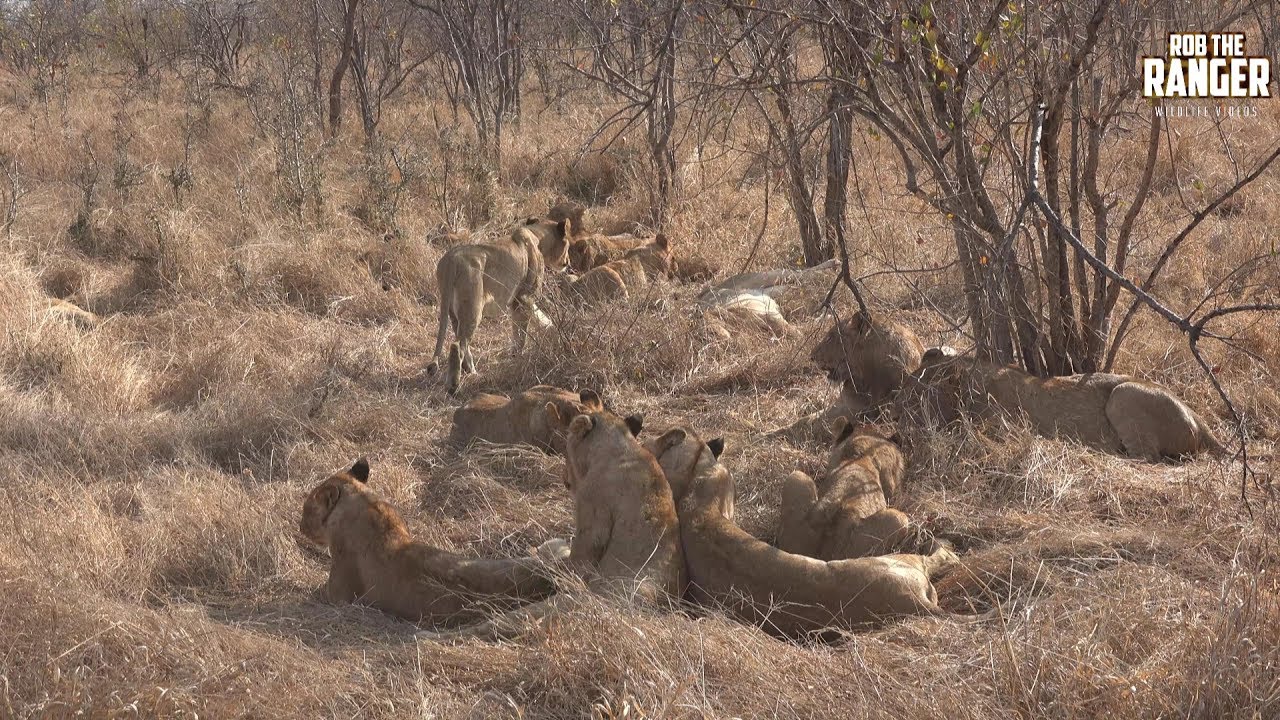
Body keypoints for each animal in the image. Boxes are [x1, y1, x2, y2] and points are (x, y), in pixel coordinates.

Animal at [419, 405, 686, 642]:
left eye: (566, 450)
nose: (564, 479)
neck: (621, 450)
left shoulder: (592, 512)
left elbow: (579, 557)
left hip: (576, 601)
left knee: (501, 623)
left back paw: (428, 637)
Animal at [427, 217, 571, 390]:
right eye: (568, 245)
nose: (568, 262)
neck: (538, 236)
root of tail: (450, 260)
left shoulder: (516, 301)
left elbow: (524, 325)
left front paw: (547, 328)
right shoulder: (524, 297)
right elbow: (522, 332)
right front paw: (519, 355)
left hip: (453, 312)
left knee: (462, 341)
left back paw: (471, 371)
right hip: (473, 308)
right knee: (457, 345)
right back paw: (453, 385)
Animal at [905, 349, 1222, 460]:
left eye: (915, 391)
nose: (898, 415)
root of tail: (1199, 419)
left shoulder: (1003, 429)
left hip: (1123, 394)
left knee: (1148, 458)